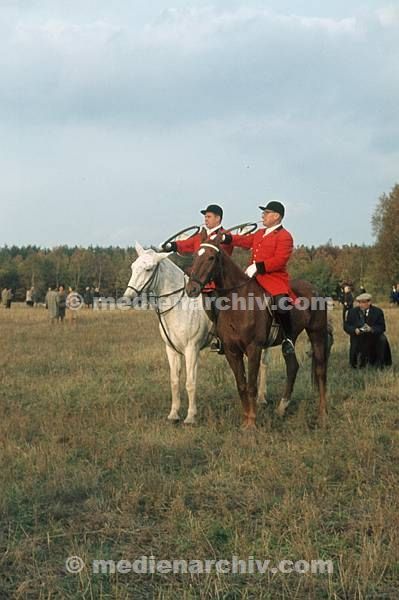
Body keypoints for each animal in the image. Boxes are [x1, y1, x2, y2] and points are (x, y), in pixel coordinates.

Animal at [125, 241, 268, 424]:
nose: (127, 297)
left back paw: (262, 398)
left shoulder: (191, 349)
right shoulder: (171, 350)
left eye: (149, 269)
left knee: (263, 365)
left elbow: (190, 382)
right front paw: (174, 414)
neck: (179, 305)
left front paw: (191, 416)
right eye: (133, 267)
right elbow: (174, 381)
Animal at [186, 232, 330, 428]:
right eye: (195, 256)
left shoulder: (254, 348)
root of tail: (314, 288)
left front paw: (252, 423)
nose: (191, 289)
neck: (237, 302)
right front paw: (246, 419)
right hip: (290, 338)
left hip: (317, 333)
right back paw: (281, 408)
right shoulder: (232, 351)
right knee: (292, 367)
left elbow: (252, 386)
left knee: (320, 370)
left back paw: (322, 414)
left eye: (211, 257)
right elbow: (241, 385)